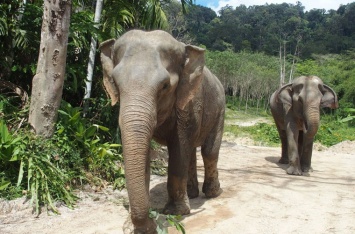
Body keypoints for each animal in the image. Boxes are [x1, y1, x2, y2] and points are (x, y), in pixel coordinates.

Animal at [99, 30, 225, 233]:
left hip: (220, 110)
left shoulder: (188, 104)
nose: (152, 221)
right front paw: (134, 226)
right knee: (192, 152)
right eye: (116, 84)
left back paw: (213, 193)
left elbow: (178, 150)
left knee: (209, 151)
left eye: (165, 86)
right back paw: (192, 194)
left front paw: (176, 213)